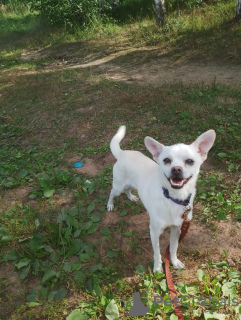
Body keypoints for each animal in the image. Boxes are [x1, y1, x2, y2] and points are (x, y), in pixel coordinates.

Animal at [107, 125, 217, 272]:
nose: (176, 169)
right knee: (112, 192)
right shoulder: (154, 232)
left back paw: (131, 197)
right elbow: (157, 253)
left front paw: (174, 262)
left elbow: (173, 248)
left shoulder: (177, 229)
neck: (173, 198)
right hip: (118, 186)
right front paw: (158, 268)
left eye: (189, 161)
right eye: (166, 160)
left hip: (128, 184)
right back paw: (110, 204)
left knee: (128, 189)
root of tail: (123, 153)